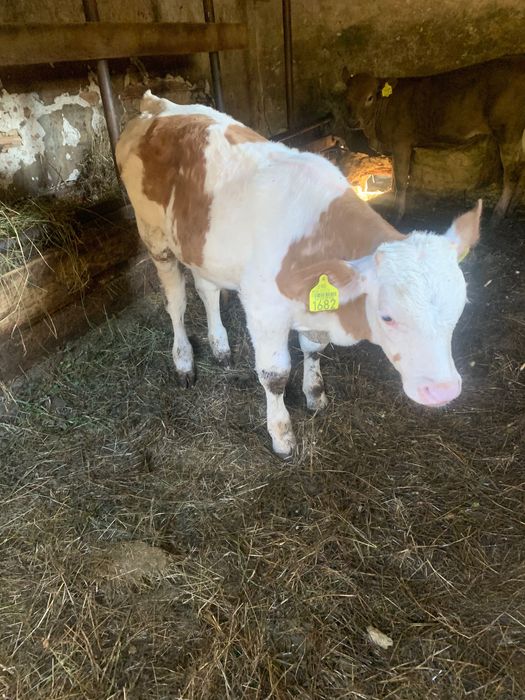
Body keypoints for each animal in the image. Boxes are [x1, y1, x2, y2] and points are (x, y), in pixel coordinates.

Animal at [116, 92, 481, 457]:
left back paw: (220, 346)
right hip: (154, 236)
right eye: (387, 316)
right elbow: (274, 375)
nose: (444, 391)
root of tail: (158, 106)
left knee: (207, 290)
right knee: (176, 303)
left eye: (460, 310)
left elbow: (313, 348)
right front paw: (281, 434)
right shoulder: (263, 310)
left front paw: (315, 394)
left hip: (200, 245)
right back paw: (184, 362)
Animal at [342, 57, 525, 223]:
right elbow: (396, 176)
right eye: (347, 97)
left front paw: (397, 213)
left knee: (511, 172)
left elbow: (400, 180)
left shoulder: (401, 142)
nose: (352, 122)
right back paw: (512, 207)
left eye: (370, 97)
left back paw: (499, 213)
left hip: (508, 130)